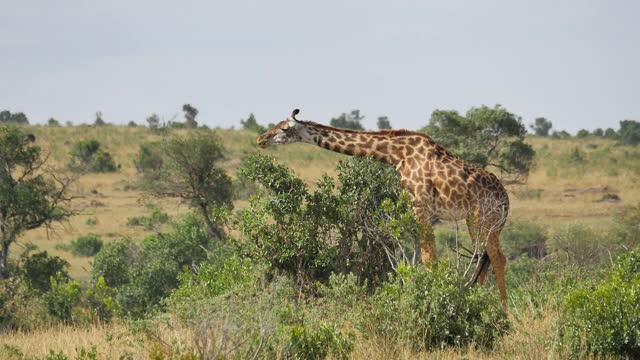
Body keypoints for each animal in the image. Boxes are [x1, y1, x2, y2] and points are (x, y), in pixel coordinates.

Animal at [255, 108, 510, 308]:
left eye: (284, 129)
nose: (261, 140)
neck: (397, 155)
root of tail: (506, 200)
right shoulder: (416, 209)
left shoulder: (421, 207)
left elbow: (429, 259)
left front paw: (434, 298)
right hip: (476, 221)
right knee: (484, 257)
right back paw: (479, 300)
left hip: (485, 218)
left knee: (497, 258)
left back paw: (504, 313)